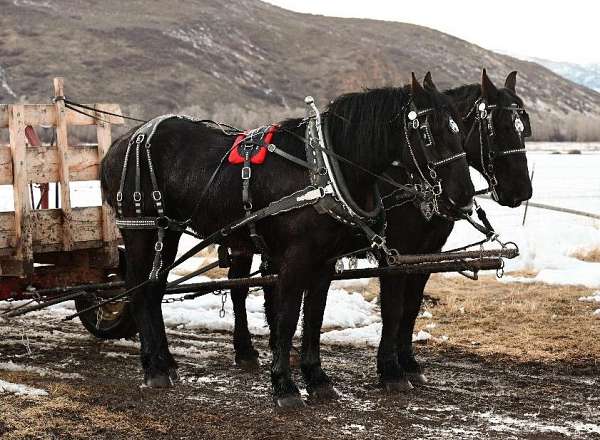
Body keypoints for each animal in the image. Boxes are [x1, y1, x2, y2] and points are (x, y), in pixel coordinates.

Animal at [101, 72, 476, 406]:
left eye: (460, 130)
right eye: (427, 133)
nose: (463, 198)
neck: (323, 169)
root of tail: (123, 141)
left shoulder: (325, 262)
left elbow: (314, 318)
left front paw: (317, 379)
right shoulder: (297, 260)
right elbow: (287, 318)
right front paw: (284, 385)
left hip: (171, 229)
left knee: (155, 288)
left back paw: (164, 361)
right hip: (142, 229)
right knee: (138, 289)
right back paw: (153, 367)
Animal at [230, 69, 536, 392]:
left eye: (524, 128)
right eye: (498, 127)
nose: (521, 191)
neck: (411, 180)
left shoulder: (426, 254)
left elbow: (411, 307)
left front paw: (409, 363)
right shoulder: (395, 253)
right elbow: (393, 308)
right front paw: (391, 370)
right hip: (242, 244)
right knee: (239, 287)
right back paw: (246, 350)